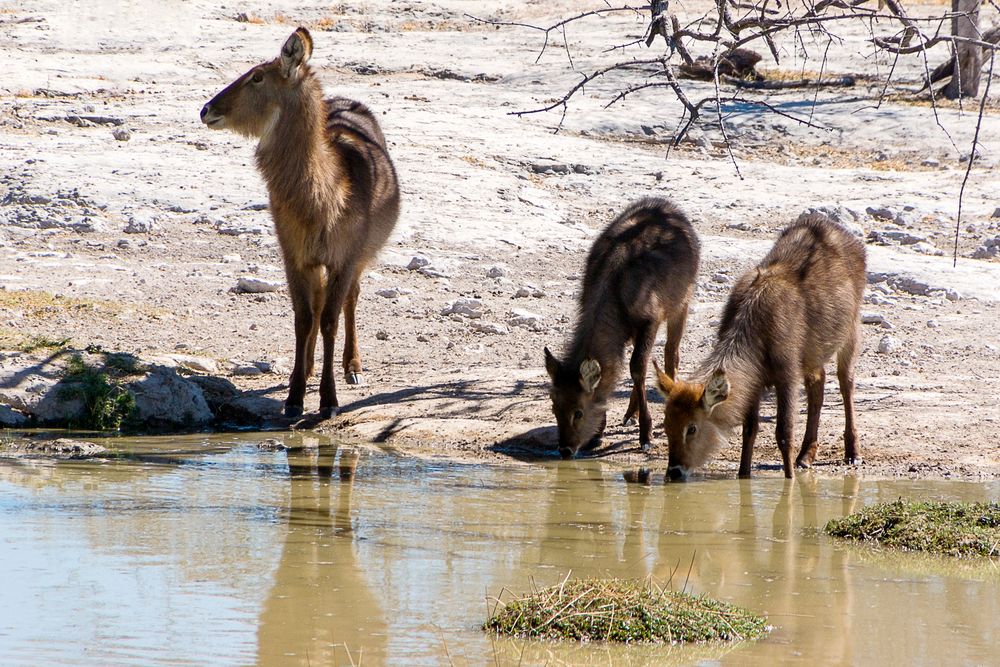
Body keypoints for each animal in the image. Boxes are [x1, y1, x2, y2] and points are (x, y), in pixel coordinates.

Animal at [201, 30, 400, 422]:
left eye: (257, 76)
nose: (206, 109)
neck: (322, 196)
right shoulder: (294, 254)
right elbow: (304, 318)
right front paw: (294, 397)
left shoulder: (344, 258)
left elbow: (330, 320)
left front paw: (329, 401)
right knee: (318, 304)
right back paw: (307, 368)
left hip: (361, 257)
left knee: (350, 299)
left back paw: (353, 367)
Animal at [544, 198, 700, 460]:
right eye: (554, 406)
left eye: (578, 412)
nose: (565, 449)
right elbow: (618, 369)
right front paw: (598, 434)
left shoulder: (650, 319)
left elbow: (637, 367)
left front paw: (646, 436)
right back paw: (629, 414)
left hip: (682, 301)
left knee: (671, 354)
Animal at [656, 214, 868, 480]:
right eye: (666, 425)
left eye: (691, 428)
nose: (674, 472)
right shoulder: (754, 382)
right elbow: (750, 429)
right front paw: (743, 476)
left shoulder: (787, 375)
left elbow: (784, 433)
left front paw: (790, 480)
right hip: (814, 354)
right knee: (818, 385)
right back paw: (805, 456)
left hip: (851, 331)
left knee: (846, 383)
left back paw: (853, 453)